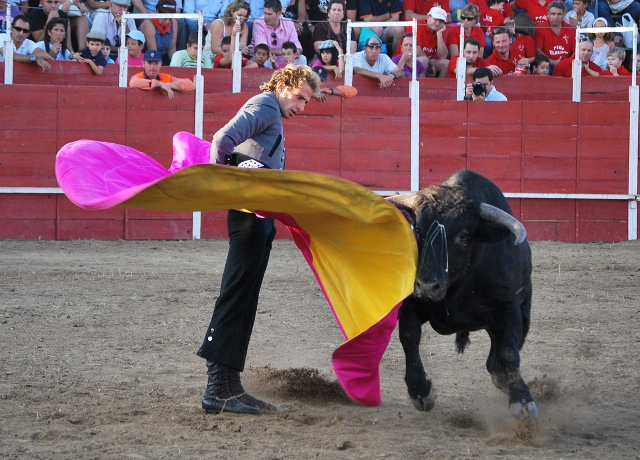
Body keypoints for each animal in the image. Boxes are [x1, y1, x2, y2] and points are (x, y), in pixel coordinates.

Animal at [388, 170, 536, 420]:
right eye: (418, 231)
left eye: (464, 236)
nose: (427, 285)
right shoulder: (411, 303)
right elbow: (409, 337)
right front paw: (420, 391)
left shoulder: (509, 310)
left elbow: (508, 353)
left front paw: (522, 400)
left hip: (524, 310)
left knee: (499, 358)